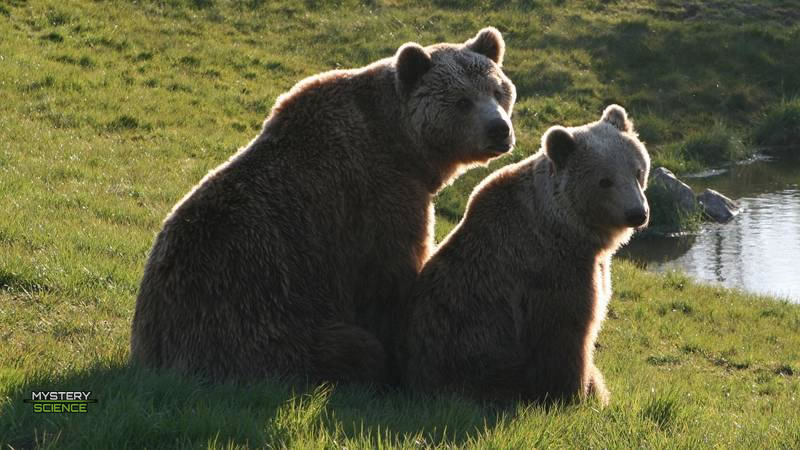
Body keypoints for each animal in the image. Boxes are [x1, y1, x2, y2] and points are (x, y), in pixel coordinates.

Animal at [130, 28, 520, 382]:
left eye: (498, 91)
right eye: (462, 101)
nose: (499, 129)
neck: (403, 146)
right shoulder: (379, 198)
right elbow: (390, 278)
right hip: (259, 324)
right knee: (352, 348)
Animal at [406, 104, 648, 404]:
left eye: (638, 171)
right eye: (605, 181)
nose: (637, 213)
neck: (570, 228)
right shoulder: (553, 268)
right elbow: (564, 335)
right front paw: (577, 394)